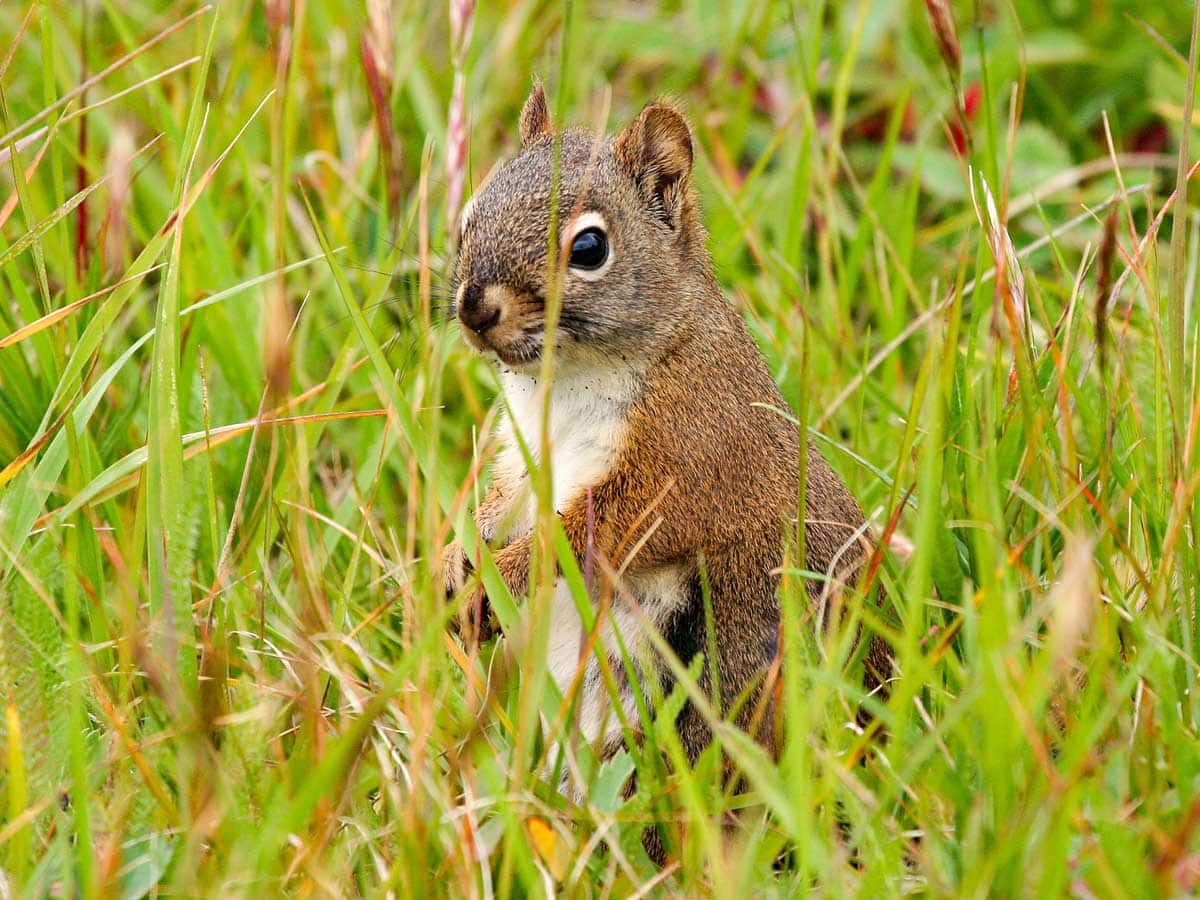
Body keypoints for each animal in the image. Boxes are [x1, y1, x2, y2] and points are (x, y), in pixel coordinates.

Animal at [446, 84, 888, 787]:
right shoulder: (526, 454)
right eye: (467, 219)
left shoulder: (691, 453)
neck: (567, 384)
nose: (474, 308)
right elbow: (505, 500)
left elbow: (601, 531)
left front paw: (508, 573)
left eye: (590, 248)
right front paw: (458, 556)